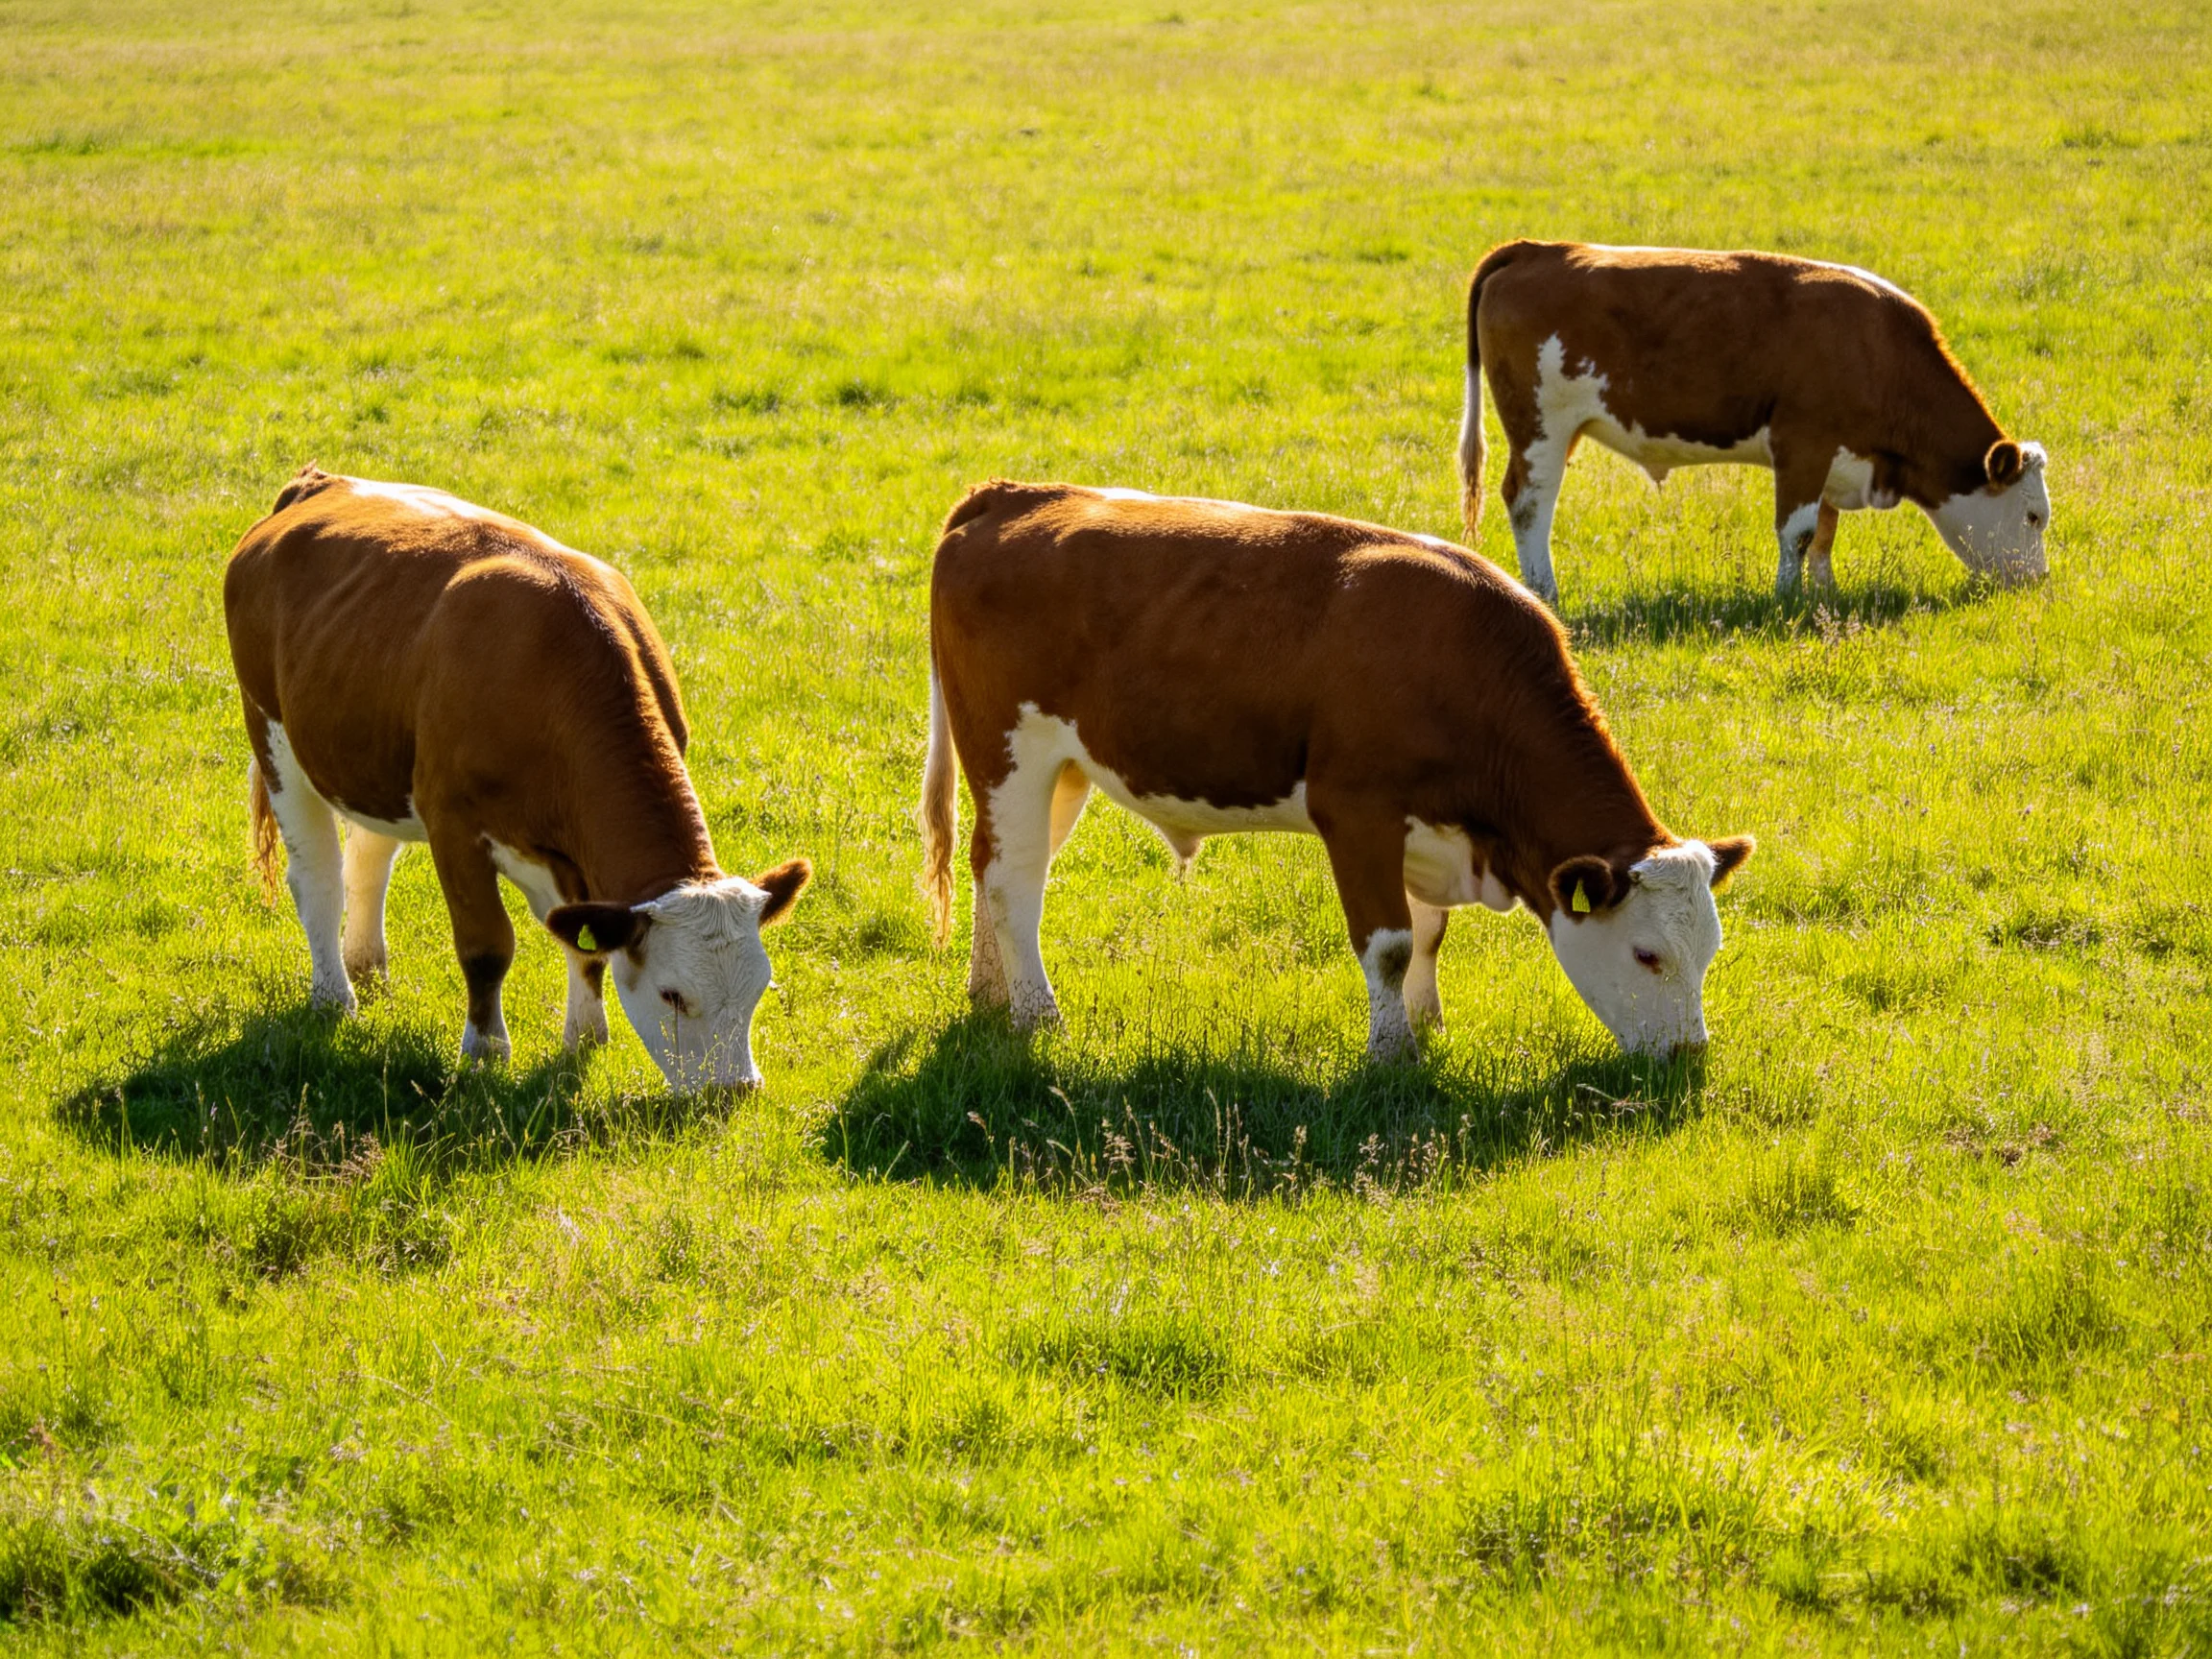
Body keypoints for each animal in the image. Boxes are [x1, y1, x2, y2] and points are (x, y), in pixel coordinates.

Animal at [224, 465, 810, 1090]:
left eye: (759, 989)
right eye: (672, 995)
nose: (734, 1091)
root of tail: (319, 481)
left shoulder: (569, 853)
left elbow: (584, 945)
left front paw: (585, 1039)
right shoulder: (452, 823)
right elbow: (487, 946)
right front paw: (485, 1052)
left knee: (369, 857)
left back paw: (366, 965)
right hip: (272, 733)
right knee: (318, 878)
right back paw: (336, 997)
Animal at [918, 481, 1754, 1061]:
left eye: (1710, 952)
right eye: (1647, 954)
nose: (1690, 1058)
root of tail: (1010, 495)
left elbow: (1427, 935)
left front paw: (1425, 1026)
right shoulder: (1355, 813)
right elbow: (1388, 943)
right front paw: (1391, 1055)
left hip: (1059, 769)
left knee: (996, 869)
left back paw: (992, 999)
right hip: (1010, 752)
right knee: (1014, 881)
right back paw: (1039, 1018)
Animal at [1457, 240, 2053, 604]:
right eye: (2033, 517)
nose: (2039, 581)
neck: (1877, 349)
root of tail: (1537, 251)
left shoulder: (1834, 457)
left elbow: (1825, 533)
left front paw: (1825, 594)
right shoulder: (1803, 443)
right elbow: (1798, 531)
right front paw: (1787, 599)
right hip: (1541, 428)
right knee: (1529, 502)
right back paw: (1543, 592)